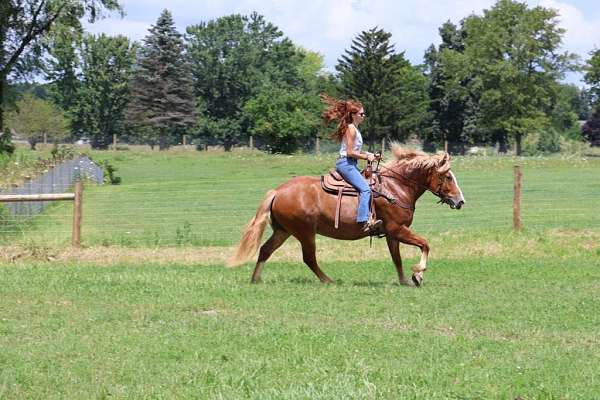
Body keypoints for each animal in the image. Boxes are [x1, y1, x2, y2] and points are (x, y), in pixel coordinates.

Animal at [227, 145, 466, 286]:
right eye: (448, 177)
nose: (460, 201)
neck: (395, 187)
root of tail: (277, 191)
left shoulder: (391, 234)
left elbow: (396, 258)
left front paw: (405, 280)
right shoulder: (397, 229)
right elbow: (425, 244)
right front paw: (418, 273)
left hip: (284, 231)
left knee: (265, 250)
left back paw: (256, 279)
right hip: (305, 232)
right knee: (309, 258)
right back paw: (328, 281)